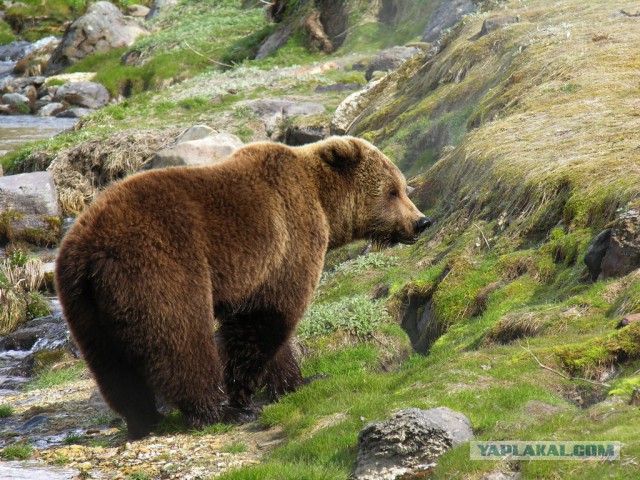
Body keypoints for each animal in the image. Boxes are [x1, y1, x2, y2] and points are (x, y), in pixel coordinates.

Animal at [56, 135, 430, 438]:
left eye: (402, 187)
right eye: (392, 191)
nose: (421, 222)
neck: (324, 203)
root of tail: (93, 251)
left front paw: (300, 380)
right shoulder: (287, 239)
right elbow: (266, 317)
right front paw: (244, 392)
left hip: (82, 301)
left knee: (111, 364)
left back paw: (143, 419)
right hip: (161, 266)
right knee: (181, 339)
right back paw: (218, 411)